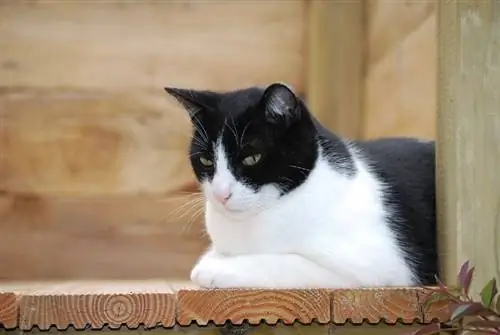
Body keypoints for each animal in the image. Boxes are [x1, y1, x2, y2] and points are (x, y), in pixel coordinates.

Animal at [165, 82, 438, 290]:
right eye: (206, 160)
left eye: (251, 158)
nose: (221, 194)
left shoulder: (379, 262)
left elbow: (283, 262)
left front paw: (214, 269)